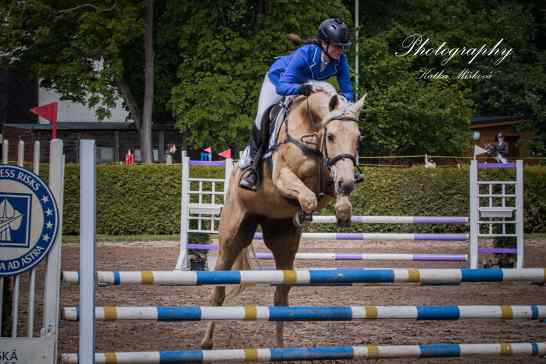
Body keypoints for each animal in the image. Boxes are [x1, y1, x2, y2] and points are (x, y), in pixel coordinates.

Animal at [200, 81, 366, 348]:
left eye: (358, 138)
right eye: (331, 136)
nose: (349, 182)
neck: (312, 128)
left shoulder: (332, 180)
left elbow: (337, 201)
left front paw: (342, 215)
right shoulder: (283, 177)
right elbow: (308, 197)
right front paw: (303, 213)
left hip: (283, 245)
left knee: (280, 296)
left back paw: (278, 348)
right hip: (231, 238)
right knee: (218, 290)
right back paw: (206, 342)